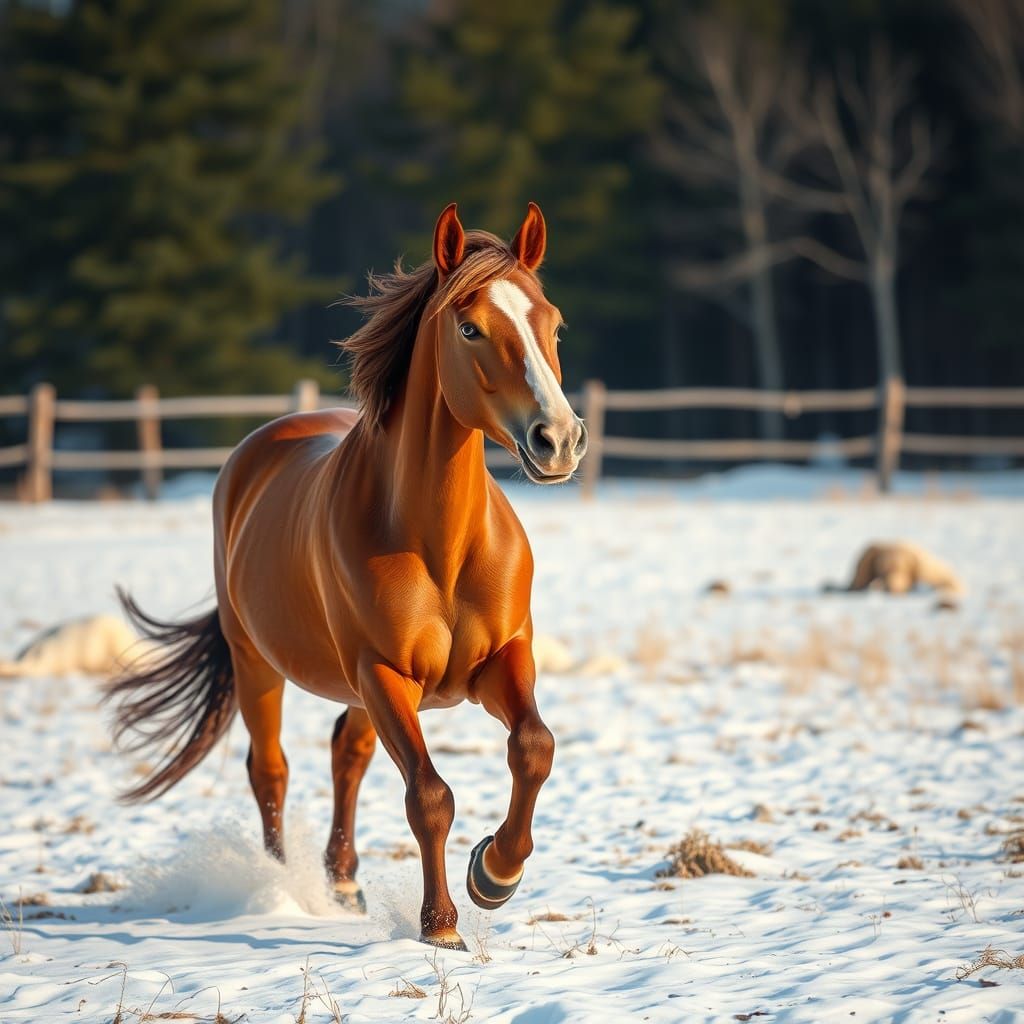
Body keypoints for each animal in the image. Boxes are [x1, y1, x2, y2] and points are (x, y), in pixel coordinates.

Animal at [107, 202, 588, 951]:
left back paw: (342, 881)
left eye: (553, 323)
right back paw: (287, 889)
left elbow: (534, 747)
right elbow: (429, 796)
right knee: (270, 769)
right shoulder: (384, 673)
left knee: (346, 753)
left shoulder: (501, 661)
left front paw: (495, 874)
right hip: (259, 664)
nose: (558, 440)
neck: (440, 544)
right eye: (471, 328)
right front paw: (441, 927)